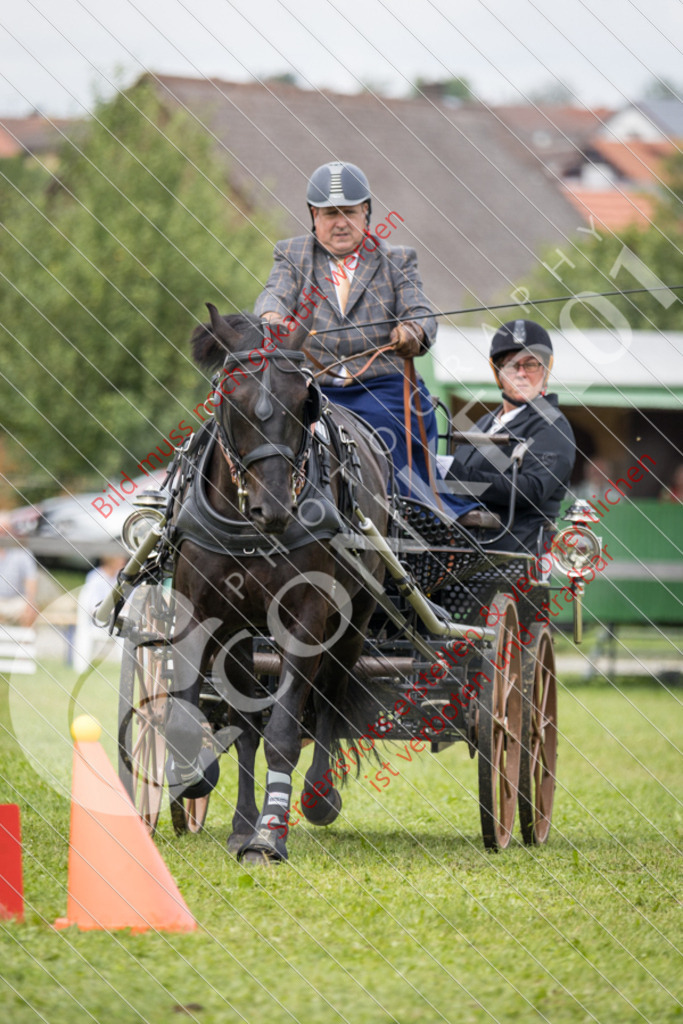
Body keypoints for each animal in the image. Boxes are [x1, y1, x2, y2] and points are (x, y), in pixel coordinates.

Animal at [166, 305, 389, 864]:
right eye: (231, 399)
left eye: (302, 401)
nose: (274, 510)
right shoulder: (202, 615)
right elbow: (198, 720)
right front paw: (200, 784)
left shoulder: (305, 618)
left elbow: (285, 729)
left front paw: (270, 834)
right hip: (244, 631)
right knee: (247, 724)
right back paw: (241, 823)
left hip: (353, 618)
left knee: (330, 696)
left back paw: (316, 797)